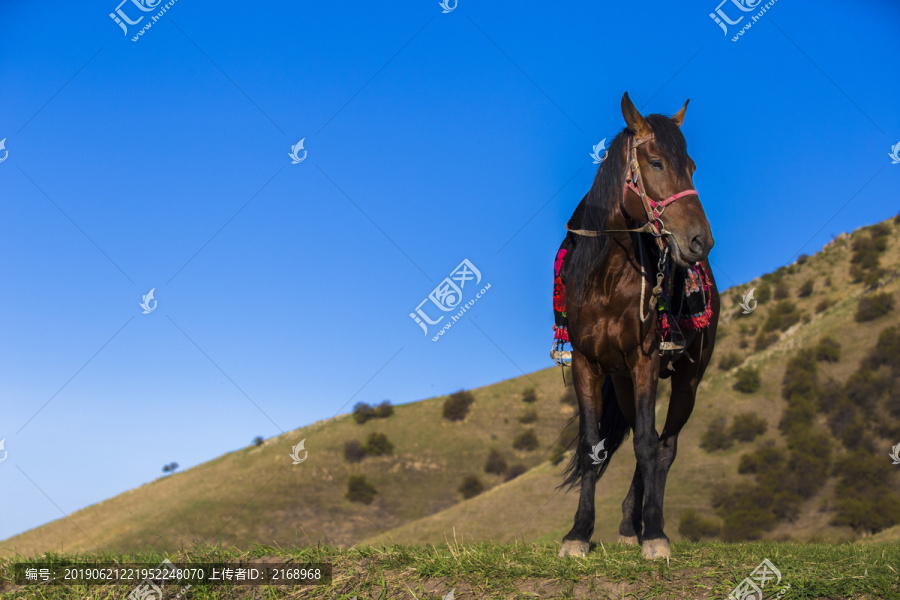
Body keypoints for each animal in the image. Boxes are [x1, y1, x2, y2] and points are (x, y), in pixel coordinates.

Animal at [556, 92, 716, 556]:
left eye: (692, 165)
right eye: (657, 162)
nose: (700, 241)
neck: (606, 276)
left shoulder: (646, 361)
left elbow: (647, 444)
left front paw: (657, 534)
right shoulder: (586, 364)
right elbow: (592, 446)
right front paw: (578, 533)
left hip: (687, 381)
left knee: (664, 447)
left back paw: (647, 524)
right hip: (624, 384)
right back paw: (631, 523)